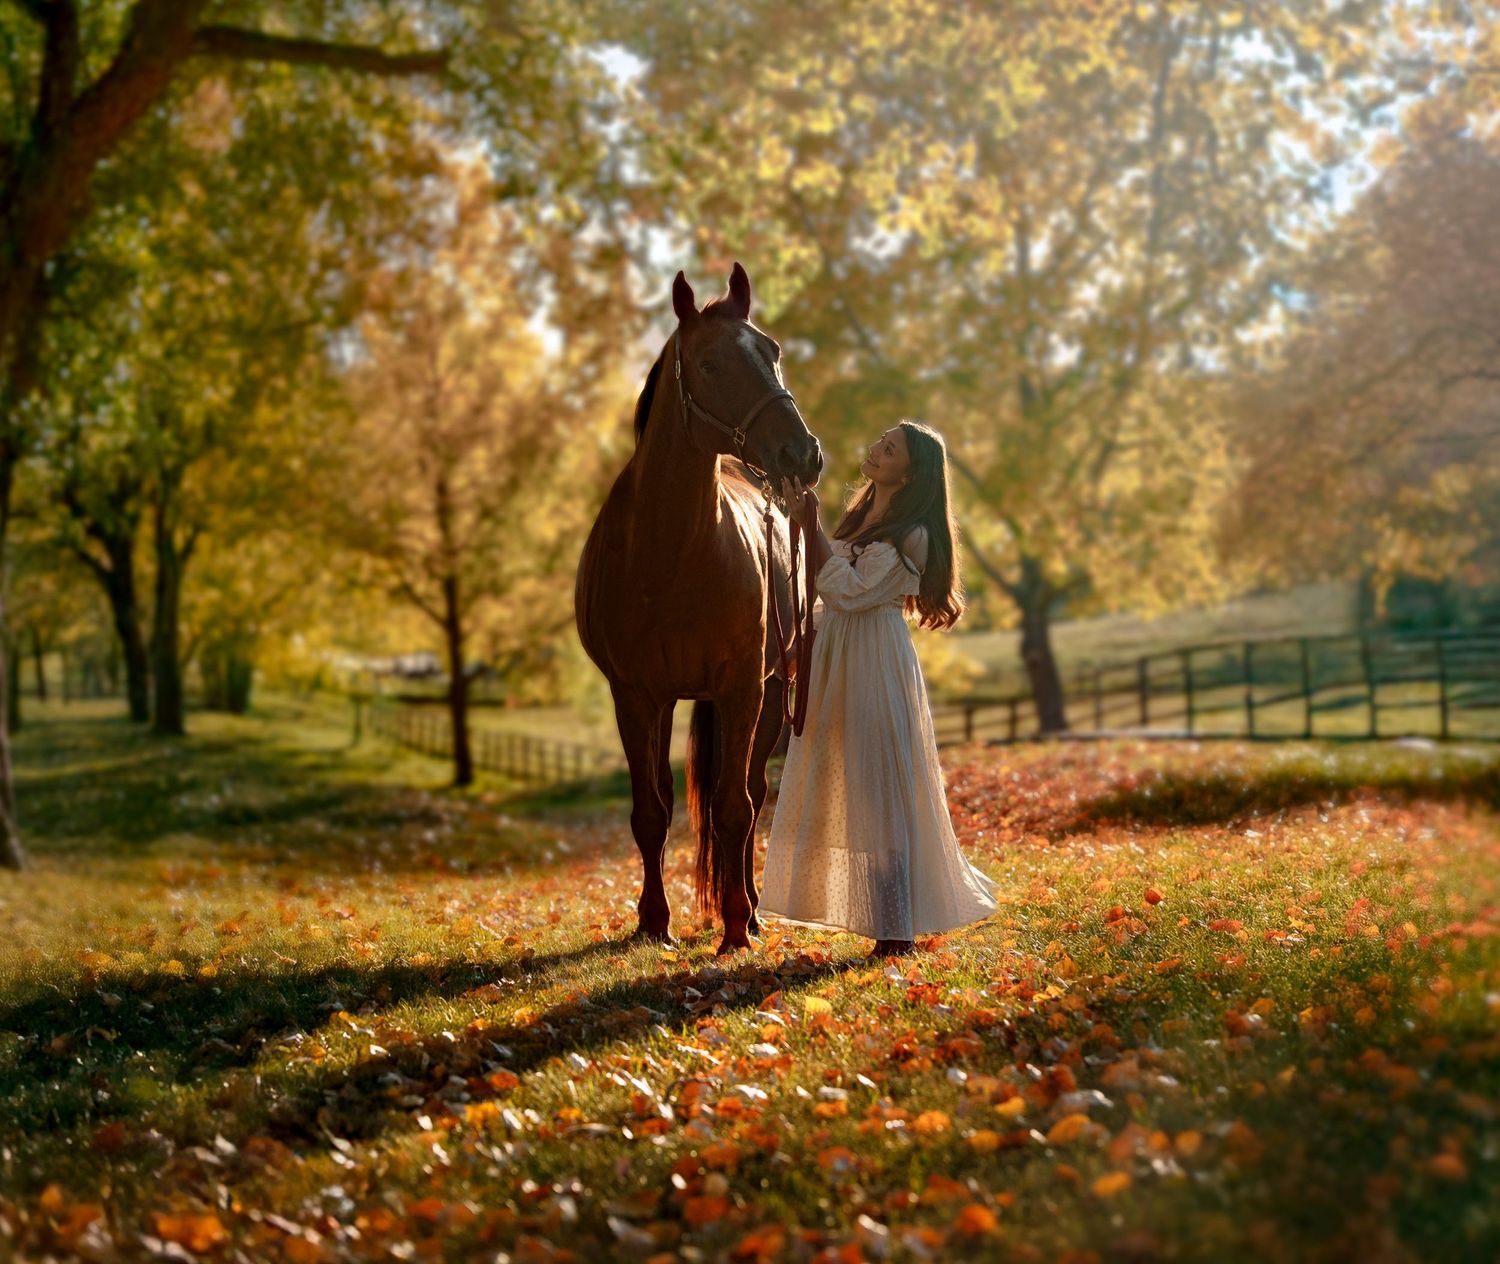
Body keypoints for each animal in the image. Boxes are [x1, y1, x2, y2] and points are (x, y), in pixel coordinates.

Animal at [575, 263, 823, 954]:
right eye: (710, 363)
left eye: (771, 351)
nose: (802, 454)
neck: (669, 554)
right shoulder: (635, 696)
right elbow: (650, 811)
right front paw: (652, 922)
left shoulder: (741, 688)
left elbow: (735, 808)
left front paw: (737, 928)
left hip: (772, 692)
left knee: (748, 795)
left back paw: (755, 910)